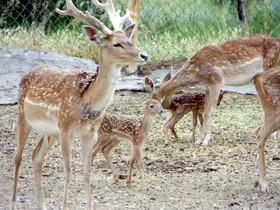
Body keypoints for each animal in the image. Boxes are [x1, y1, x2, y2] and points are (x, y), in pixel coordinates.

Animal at [10, 0, 148, 210]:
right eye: (116, 43)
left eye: (129, 39)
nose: (144, 55)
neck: (86, 102)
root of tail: (27, 73)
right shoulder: (66, 129)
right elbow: (68, 173)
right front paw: (65, 205)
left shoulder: (89, 132)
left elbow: (87, 172)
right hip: (22, 116)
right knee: (18, 158)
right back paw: (13, 202)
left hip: (50, 132)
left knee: (36, 157)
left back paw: (42, 204)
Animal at [150, 34, 280, 146]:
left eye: (154, 97)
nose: (166, 106)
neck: (196, 74)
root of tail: (277, 40)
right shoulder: (207, 88)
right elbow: (205, 110)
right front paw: (199, 140)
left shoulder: (216, 82)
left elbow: (210, 111)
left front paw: (205, 140)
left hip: (270, 65)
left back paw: (273, 135)